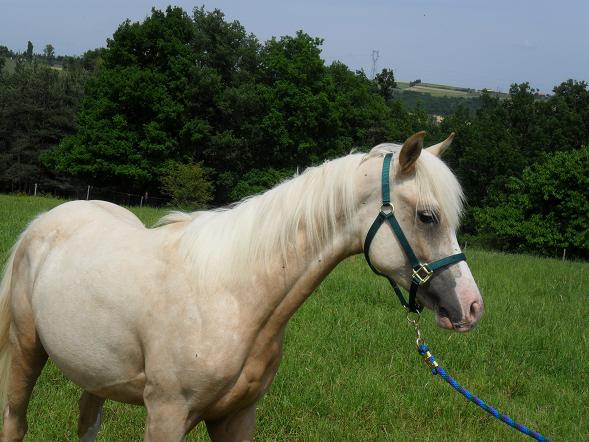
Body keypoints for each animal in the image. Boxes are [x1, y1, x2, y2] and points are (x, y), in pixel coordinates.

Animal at [0, 132, 482, 442]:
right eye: (427, 216)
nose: (471, 307)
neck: (233, 297)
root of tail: (43, 223)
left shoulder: (236, 417)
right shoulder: (166, 414)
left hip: (95, 374)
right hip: (25, 351)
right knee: (14, 423)